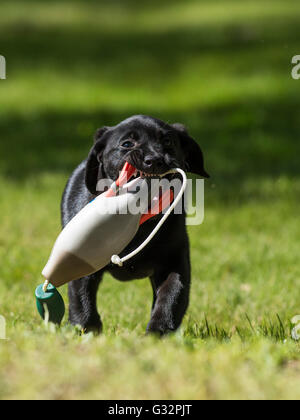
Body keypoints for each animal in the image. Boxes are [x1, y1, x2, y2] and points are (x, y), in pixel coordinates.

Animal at [61, 115, 209, 334]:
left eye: (168, 141)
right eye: (127, 144)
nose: (155, 159)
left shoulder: (174, 261)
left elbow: (170, 298)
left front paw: (158, 332)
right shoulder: (81, 256)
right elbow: (81, 298)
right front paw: (87, 330)